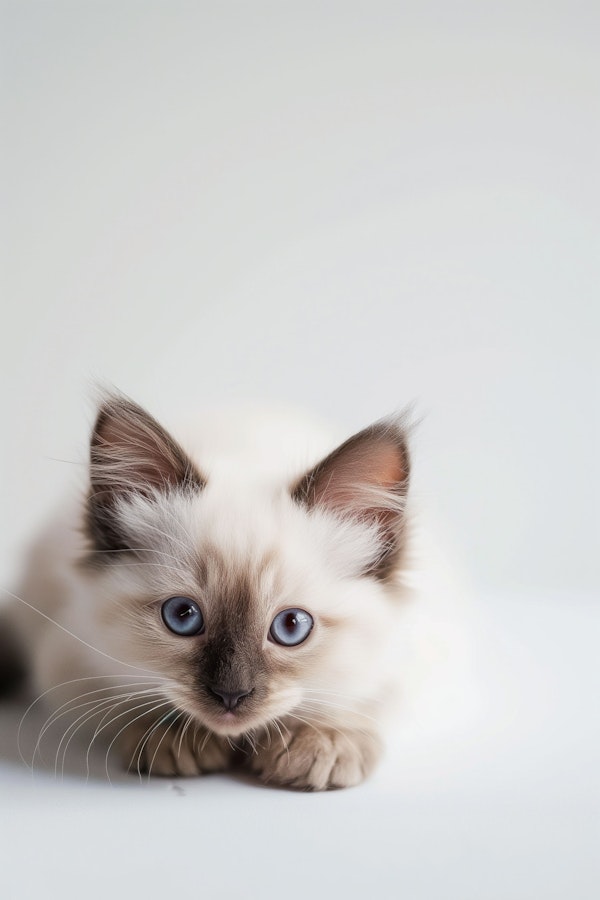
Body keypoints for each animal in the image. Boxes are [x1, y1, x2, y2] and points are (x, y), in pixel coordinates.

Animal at [2, 390, 432, 792]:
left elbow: (363, 700)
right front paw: (177, 736)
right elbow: (127, 703)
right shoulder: (70, 663)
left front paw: (322, 741)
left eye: (291, 626)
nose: (231, 696)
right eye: (182, 617)